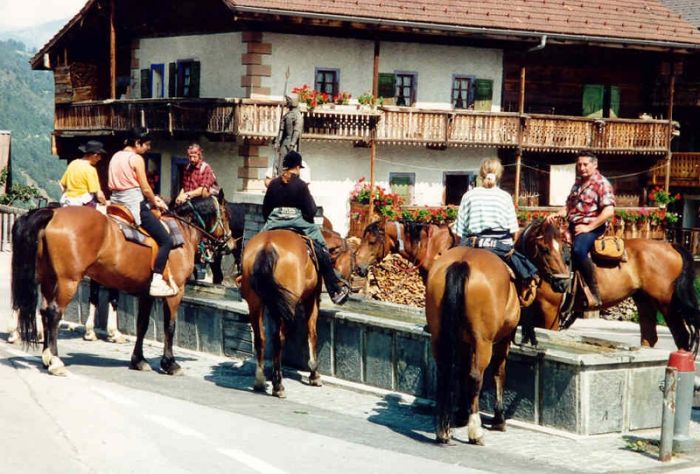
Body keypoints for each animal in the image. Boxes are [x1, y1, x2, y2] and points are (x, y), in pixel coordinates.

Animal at [11, 194, 235, 376]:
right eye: (226, 215)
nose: (231, 244)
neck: (182, 231)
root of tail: (52, 213)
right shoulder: (175, 293)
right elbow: (170, 327)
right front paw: (170, 363)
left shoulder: (146, 294)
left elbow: (142, 325)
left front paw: (139, 360)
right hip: (68, 281)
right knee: (54, 313)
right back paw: (55, 361)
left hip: (48, 279)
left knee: (43, 311)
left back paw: (46, 357)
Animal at [520, 217, 700, 354]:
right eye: (544, 249)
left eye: (556, 249)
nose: (563, 283)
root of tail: (671, 246)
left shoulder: (550, 311)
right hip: (644, 300)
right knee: (649, 335)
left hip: (667, 305)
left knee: (681, 336)